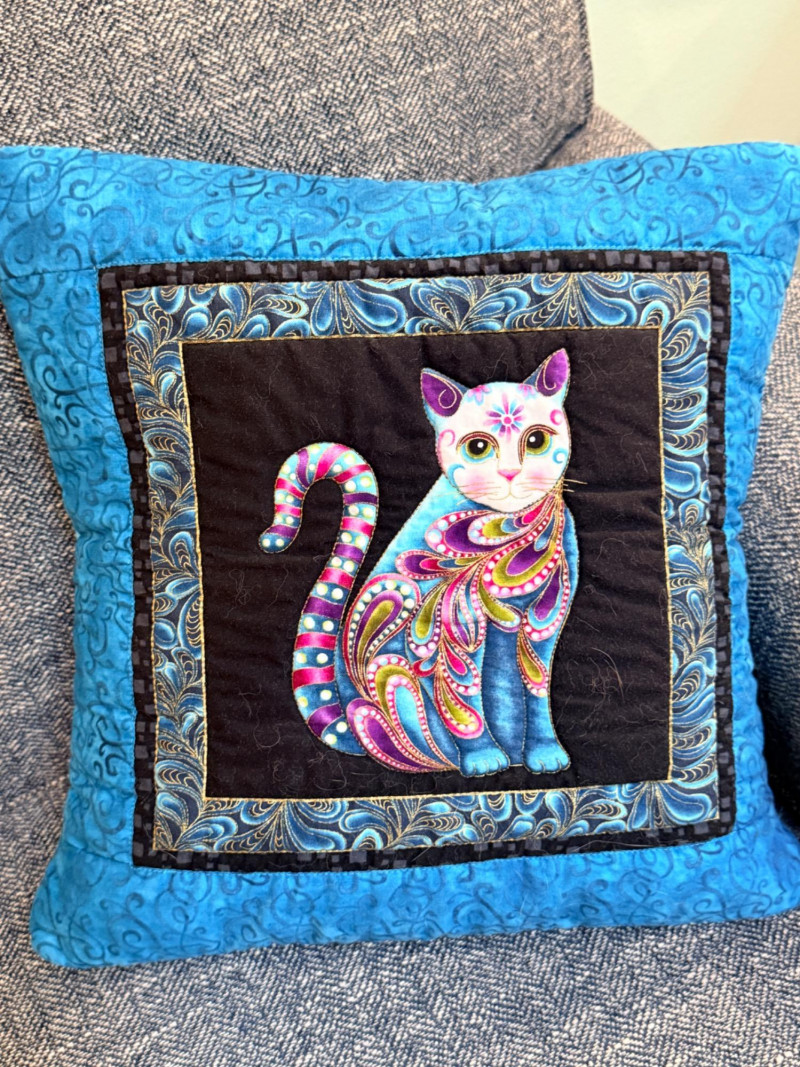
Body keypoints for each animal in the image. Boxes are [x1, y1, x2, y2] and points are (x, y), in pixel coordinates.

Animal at [258, 348, 578, 777]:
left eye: (537, 440)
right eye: (478, 448)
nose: (510, 473)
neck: (514, 530)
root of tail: (346, 724)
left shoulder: (544, 622)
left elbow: (536, 687)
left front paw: (546, 752)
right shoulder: (444, 627)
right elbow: (460, 696)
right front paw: (481, 757)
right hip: (393, 679)